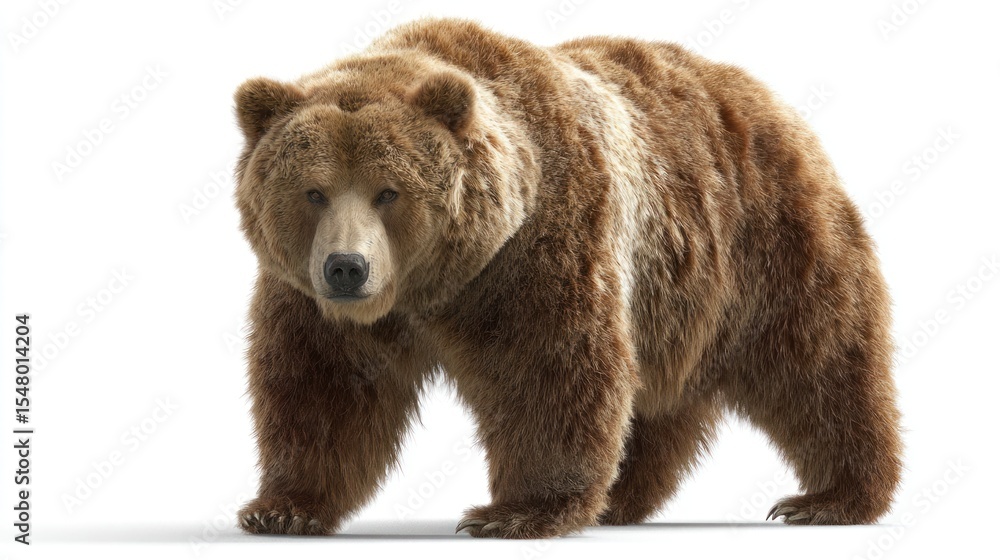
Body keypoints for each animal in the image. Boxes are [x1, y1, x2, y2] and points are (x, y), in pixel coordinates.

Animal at [232, 18, 902, 538]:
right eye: (314, 191)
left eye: (388, 191)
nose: (347, 268)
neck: (431, 285)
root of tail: (772, 101)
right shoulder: (311, 297)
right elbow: (323, 386)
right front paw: (281, 509)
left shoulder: (535, 247)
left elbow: (549, 366)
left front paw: (513, 512)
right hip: (671, 302)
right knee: (651, 404)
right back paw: (620, 498)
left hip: (766, 242)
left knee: (819, 361)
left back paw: (830, 498)